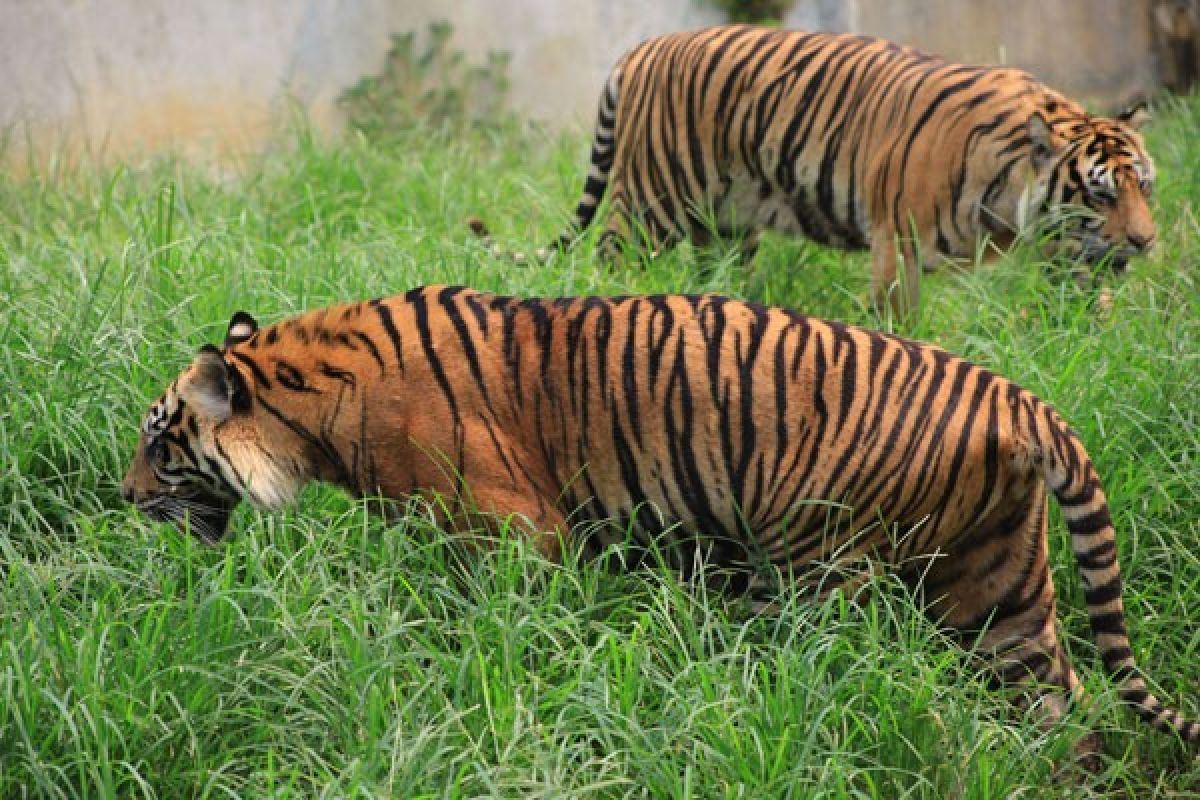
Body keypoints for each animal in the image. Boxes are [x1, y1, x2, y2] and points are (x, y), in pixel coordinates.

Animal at [119, 286, 1190, 758]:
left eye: (160, 442)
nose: (123, 498)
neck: (306, 407)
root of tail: (1018, 400)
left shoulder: (512, 532)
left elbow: (491, 630)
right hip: (997, 588)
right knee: (1058, 698)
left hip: (825, 564)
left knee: (848, 668)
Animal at [465, 25, 1152, 311]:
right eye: (1099, 195)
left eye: (1144, 187)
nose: (1145, 243)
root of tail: (641, 48)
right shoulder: (897, 245)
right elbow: (900, 320)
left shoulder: (1069, 256)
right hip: (650, 205)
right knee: (608, 256)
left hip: (726, 225)